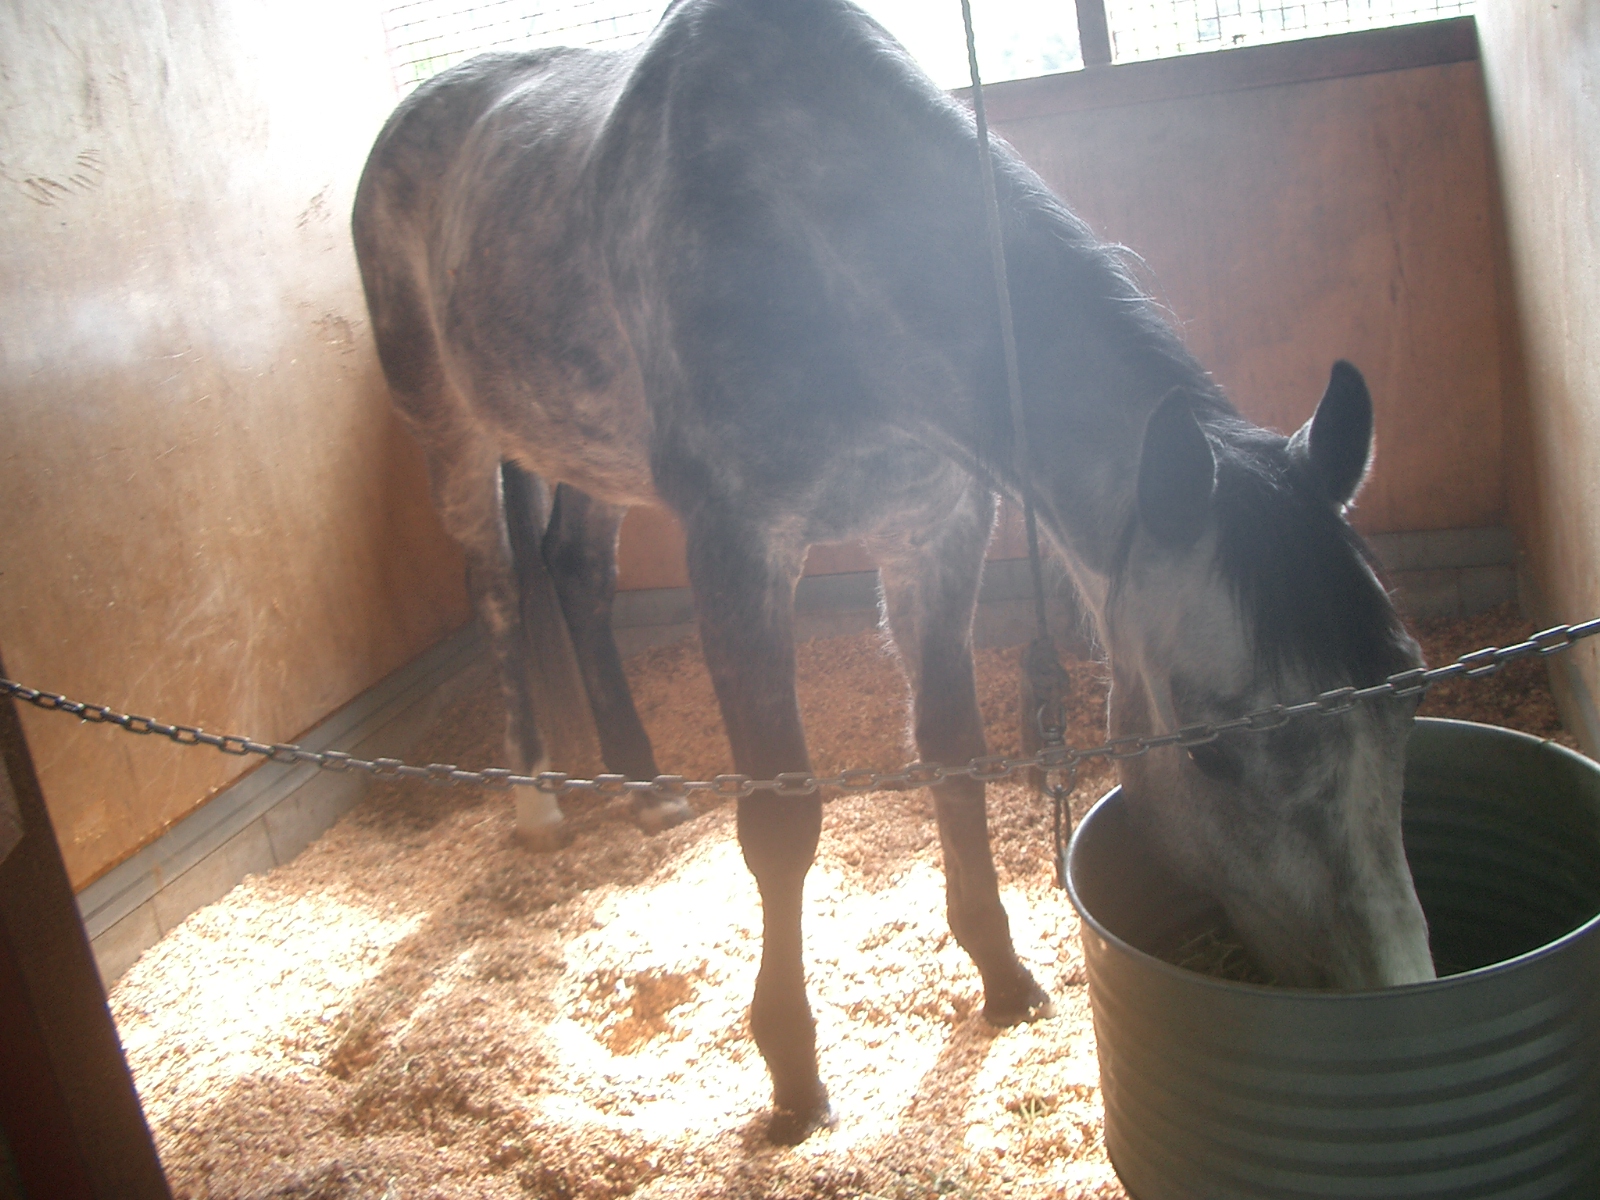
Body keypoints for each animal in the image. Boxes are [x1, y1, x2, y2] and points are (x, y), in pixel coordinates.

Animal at [352, 0, 1434, 1144]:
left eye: (1408, 688)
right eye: (1214, 752)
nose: (1394, 993)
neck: (811, 243)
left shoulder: (937, 527)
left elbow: (951, 753)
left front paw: (1002, 974)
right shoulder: (739, 547)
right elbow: (783, 823)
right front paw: (792, 1075)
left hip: (586, 449)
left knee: (574, 573)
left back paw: (645, 792)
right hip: (454, 436)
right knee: (498, 591)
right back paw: (535, 805)